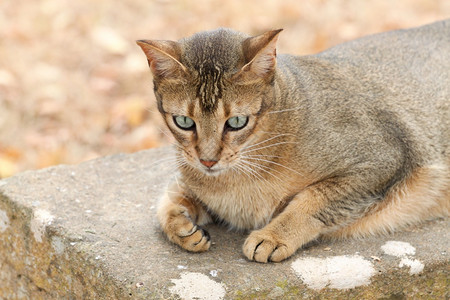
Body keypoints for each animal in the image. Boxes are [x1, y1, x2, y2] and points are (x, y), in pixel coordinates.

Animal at [137, 19, 450, 262]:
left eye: (237, 122)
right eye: (184, 122)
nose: (208, 160)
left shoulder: (382, 159)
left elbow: (313, 199)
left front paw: (274, 236)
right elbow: (166, 201)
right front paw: (181, 226)